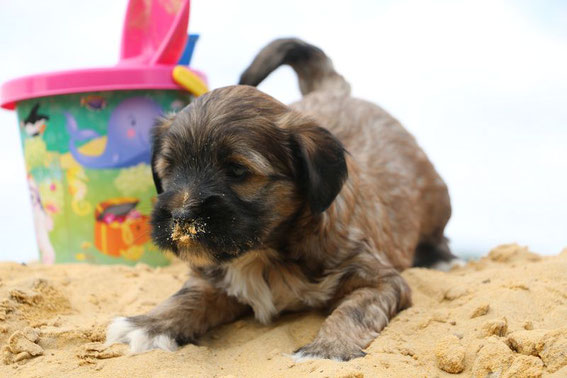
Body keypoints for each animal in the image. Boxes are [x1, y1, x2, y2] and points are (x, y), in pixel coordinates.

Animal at [105, 38, 452, 360]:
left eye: (237, 171)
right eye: (170, 169)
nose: (180, 216)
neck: (264, 253)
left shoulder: (379, 280)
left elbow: (352, 310)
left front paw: (328, 348)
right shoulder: (213, 278)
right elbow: (188, 297)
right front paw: (149, 324)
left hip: (437, 198)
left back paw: (442, 258)